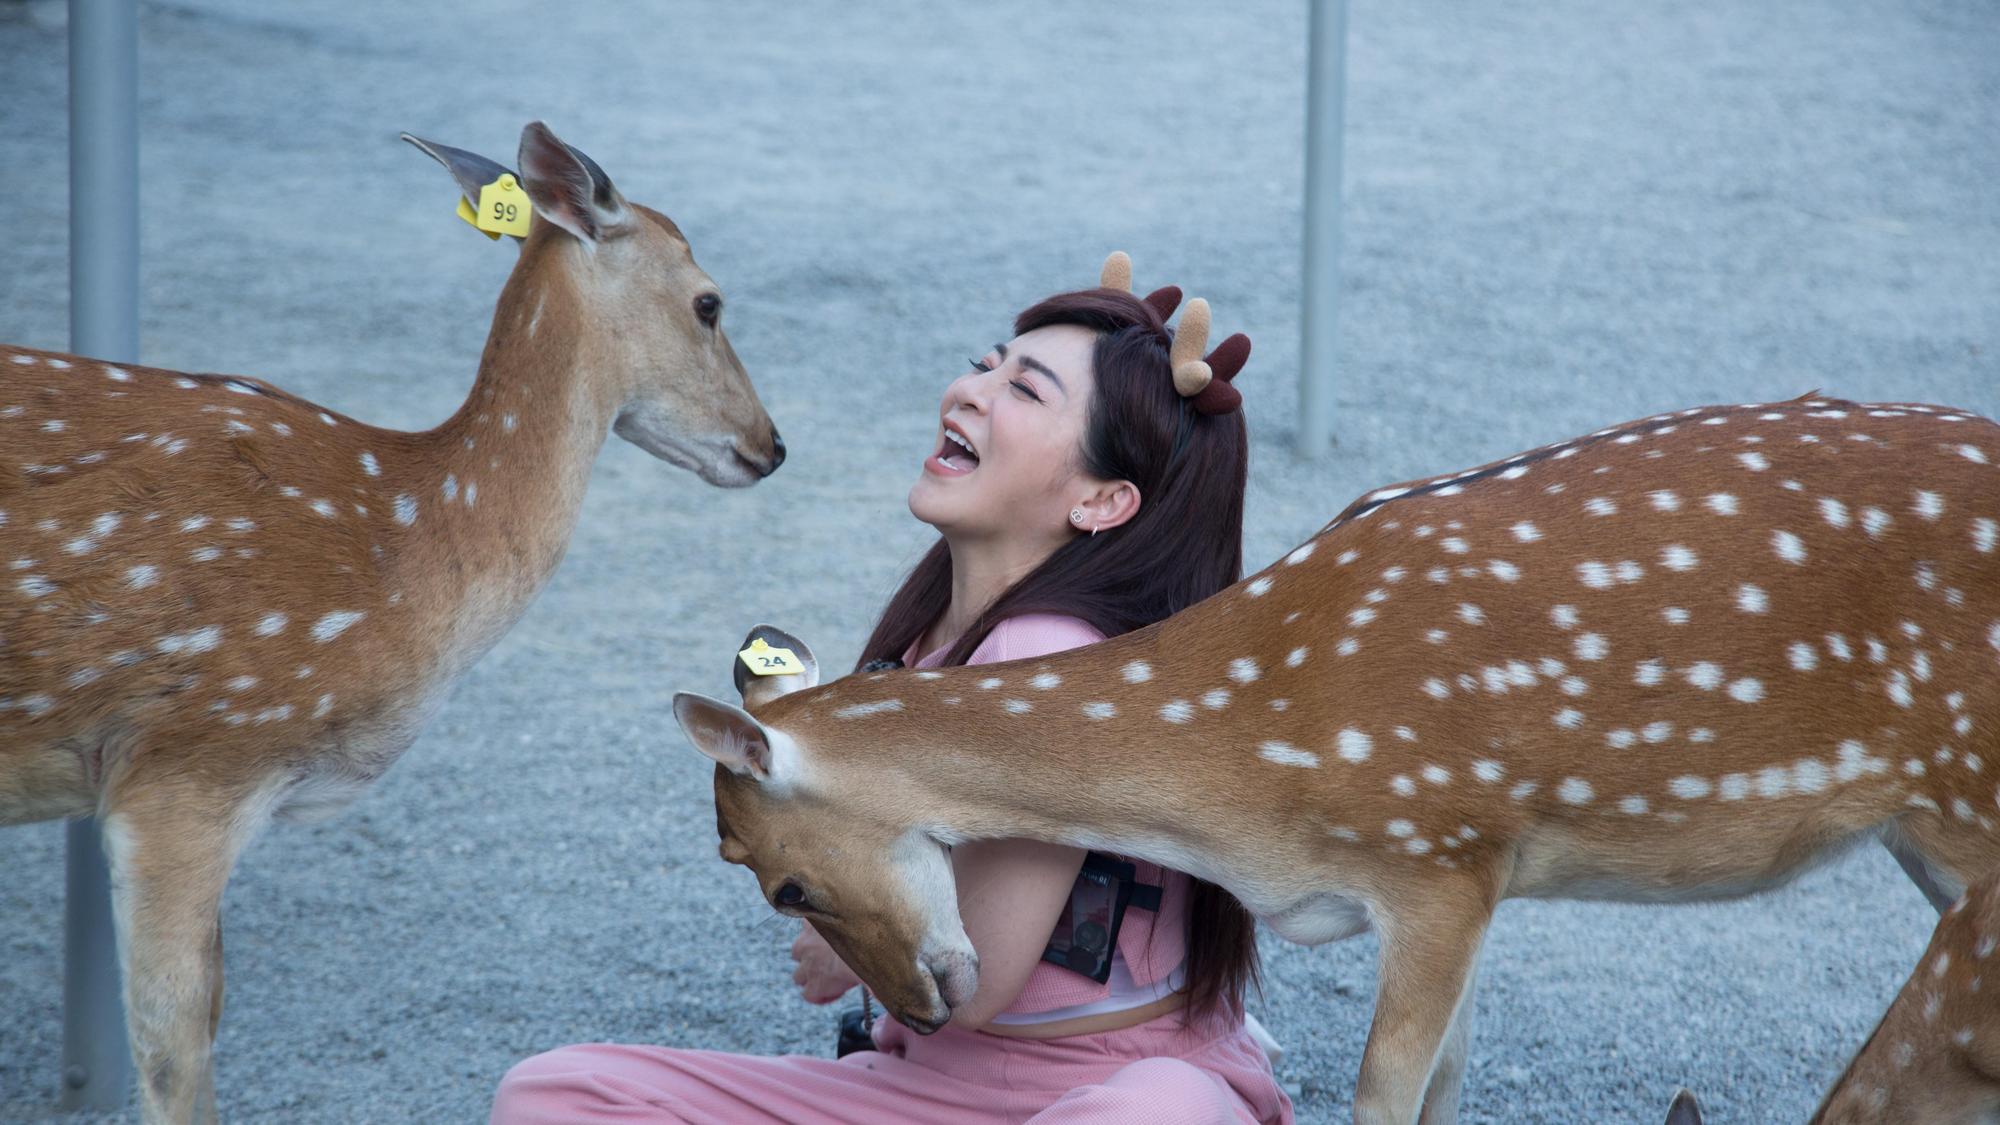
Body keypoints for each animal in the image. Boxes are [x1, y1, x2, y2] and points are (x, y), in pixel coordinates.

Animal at [671, 374, 1999, 1124]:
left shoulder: (1440, 848)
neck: (1257, 763)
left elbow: (1381, 1096)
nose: (919, 1008)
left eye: (780, 883)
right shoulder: (1481, 880)